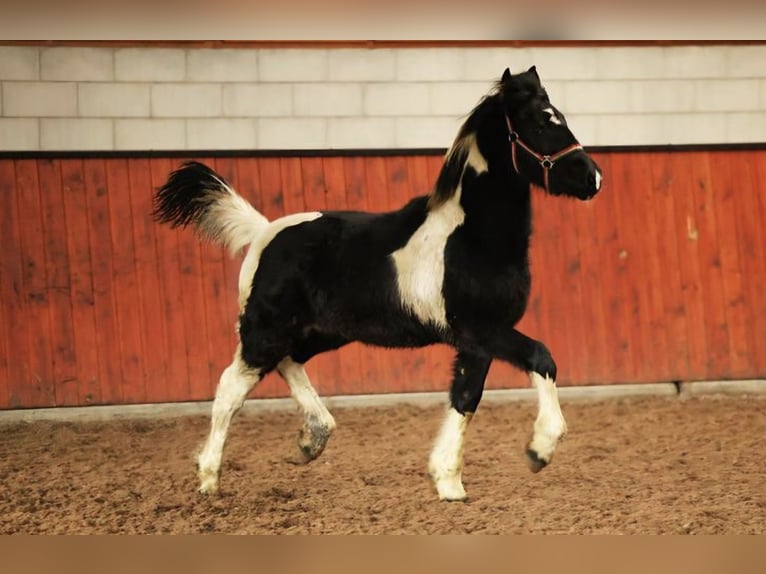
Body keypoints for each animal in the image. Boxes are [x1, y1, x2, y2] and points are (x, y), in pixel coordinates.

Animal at [153, 65, 602, 501]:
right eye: (540, 123)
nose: (593, 178)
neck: (472, 238)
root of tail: (263, 231)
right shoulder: (481, 329)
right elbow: (541, 358)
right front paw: (539, 449)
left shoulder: (477, 341)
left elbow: (465, 398)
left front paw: (449, 483)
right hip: (266, 329)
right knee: (231, 388)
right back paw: (209, 479)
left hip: (324, 331)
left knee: (289, 362)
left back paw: (312, 439)